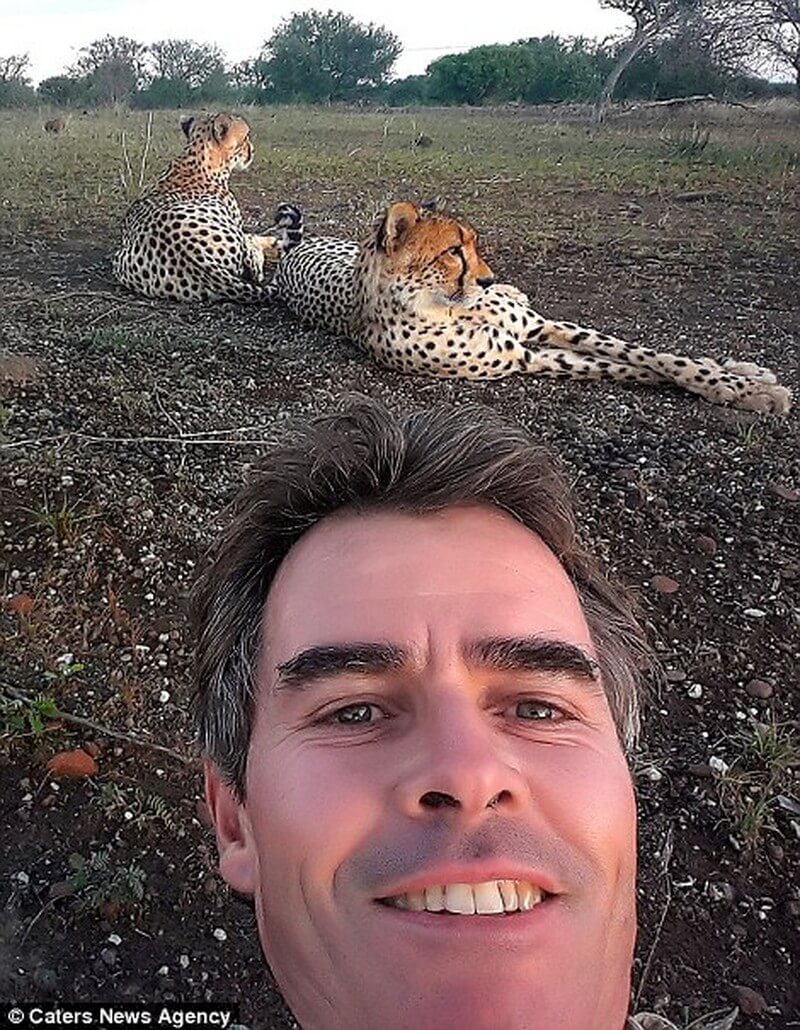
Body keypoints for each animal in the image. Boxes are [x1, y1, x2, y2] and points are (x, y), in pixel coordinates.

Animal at [113, 115, 300, 304]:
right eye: (246, 137)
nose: (252, 150)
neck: (197, 158)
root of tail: (195, 256)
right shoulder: (237, 226)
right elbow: (252, 243)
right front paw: (273, 243)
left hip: (118, 261)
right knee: (254, 267)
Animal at [271, 198, 790, 412]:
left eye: (475, 245)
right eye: (453, 251)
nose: (487, 278)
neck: (453, 306)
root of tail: (295, 251)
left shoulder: (542, 326)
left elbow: (654, 356)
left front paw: (740, 383)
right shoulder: (525, 355)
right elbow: (630, 368)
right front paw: (749, 392)